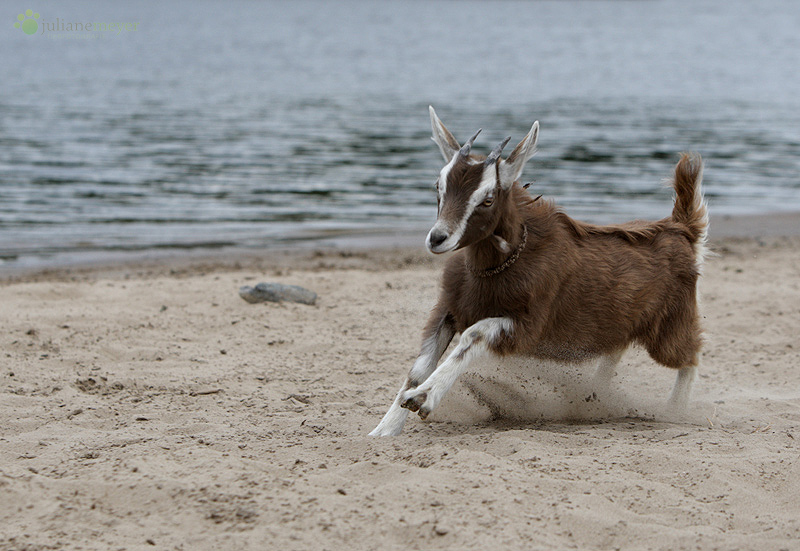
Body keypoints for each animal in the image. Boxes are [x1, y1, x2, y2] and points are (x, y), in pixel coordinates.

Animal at [368, 105, 708, 438]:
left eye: (488, 199)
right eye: (438, 187)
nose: (438, 238)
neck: (495, 268)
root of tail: (681, 228)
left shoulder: (527, 326)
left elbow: (473, 335)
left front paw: (422, 398)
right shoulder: (448, 309)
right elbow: (419, 367)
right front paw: (383, 430)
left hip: (670, 326)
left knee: (691, 355)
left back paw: (674, 411)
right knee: (617, 350)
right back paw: (594, 395)